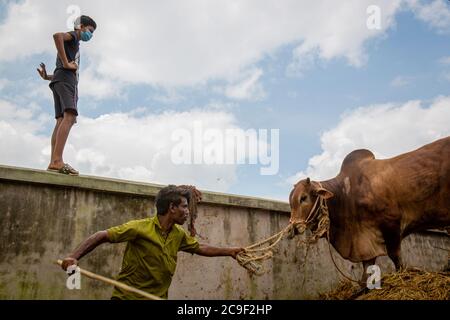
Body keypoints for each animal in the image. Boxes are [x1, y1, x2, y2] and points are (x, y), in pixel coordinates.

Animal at [288, 136, 450, 282]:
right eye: (291, 201)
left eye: (303, 198)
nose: (293, 228)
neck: (346, 195)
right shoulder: (363, 240)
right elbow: (367, 265)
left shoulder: (391, 223)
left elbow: (395, 255)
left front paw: (403, 274)